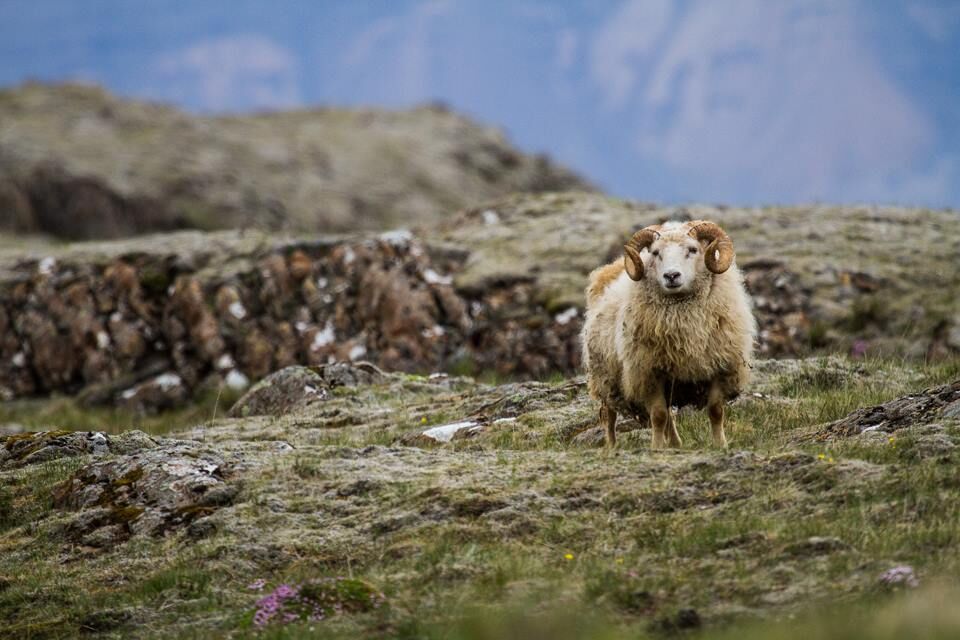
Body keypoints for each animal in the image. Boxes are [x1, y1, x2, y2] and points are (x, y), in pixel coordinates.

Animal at [580, 220, 756, 448]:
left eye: (693, 250)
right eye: (656, 253)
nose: (671, 276)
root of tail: (611, 268)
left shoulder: (720, 366)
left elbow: (715, 411)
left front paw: (721, 445)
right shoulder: (649, 372)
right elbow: (658, 415)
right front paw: (656, 448)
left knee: (670, 417)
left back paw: (675, 443)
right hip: (605, 377)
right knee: (609, 416)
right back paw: (612, 447)